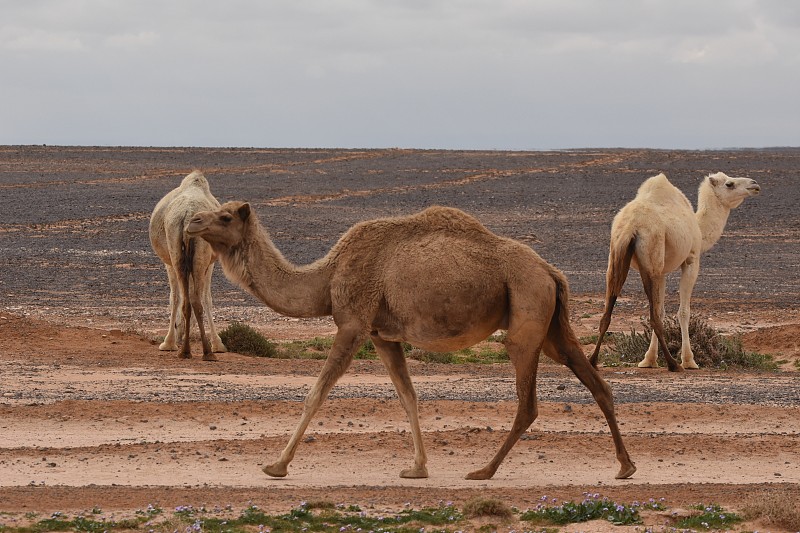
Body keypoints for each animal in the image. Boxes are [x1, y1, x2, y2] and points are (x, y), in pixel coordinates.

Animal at [148, 170, 225, 362]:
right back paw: (204, 352)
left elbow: (177, 297)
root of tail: (188, 213)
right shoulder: (208, 264)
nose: (178, 328)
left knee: (188, 300)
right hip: (196, 256)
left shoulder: (172, 262)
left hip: (177, 251)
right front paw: (218, 344)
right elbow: (204, 298)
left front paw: (168, 343)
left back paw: (187, 350)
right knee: (193, 300)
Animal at [184, 202, 636, 480]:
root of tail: (550, 272)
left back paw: (483, 471)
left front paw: (276, 465)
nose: (191, 222)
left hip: (526, 319)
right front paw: (417, 466)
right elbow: (408, 396)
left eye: (225, 217)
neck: (326, 278)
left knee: (528, 402)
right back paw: (625, 466)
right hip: (552, 327)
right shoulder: (382, 336)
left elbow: (316, 393)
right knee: (597, 382)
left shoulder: (352, 323)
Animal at [592, 172, 760, 372]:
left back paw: (592, 360)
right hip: (652, 258)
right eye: (729, 184)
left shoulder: (663, 271)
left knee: (608, 312)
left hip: (616, 257)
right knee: (653, 316)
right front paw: (689, 360)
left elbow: (662, 311)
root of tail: (631, 226)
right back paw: (673, 364)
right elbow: (683, 311)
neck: (699, 227)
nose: (755, 184)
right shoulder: (691, 260)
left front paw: (649, 360)